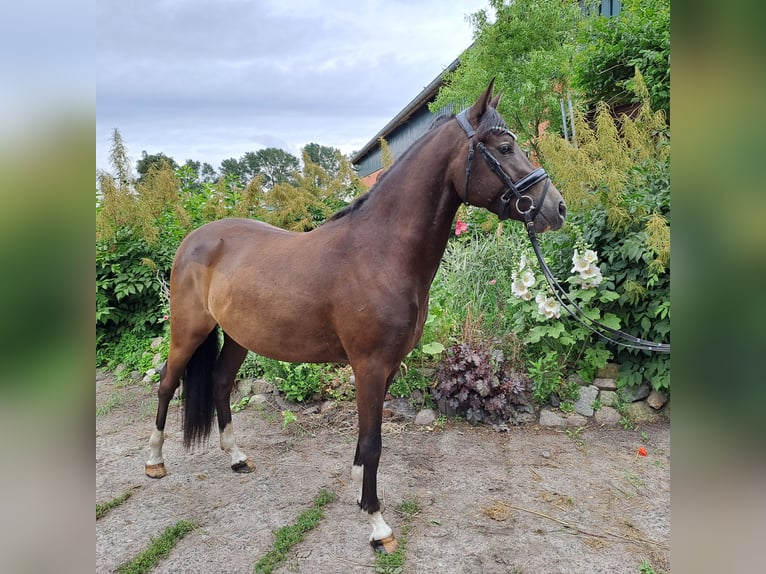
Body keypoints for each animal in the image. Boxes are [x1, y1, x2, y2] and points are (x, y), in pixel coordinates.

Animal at [147, 81, 568, 552]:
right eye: (505, 147)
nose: (557, 208)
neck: (380, 252)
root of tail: (194, 239)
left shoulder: (386, 367)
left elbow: (367, 439)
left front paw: (357, 490)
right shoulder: (369, 365)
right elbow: (373, 441)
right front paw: (377, 524)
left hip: (239, 335)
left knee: (220, 382)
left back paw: (237, 457)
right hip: (188, 330)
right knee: (166, 383)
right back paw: (155, 461)